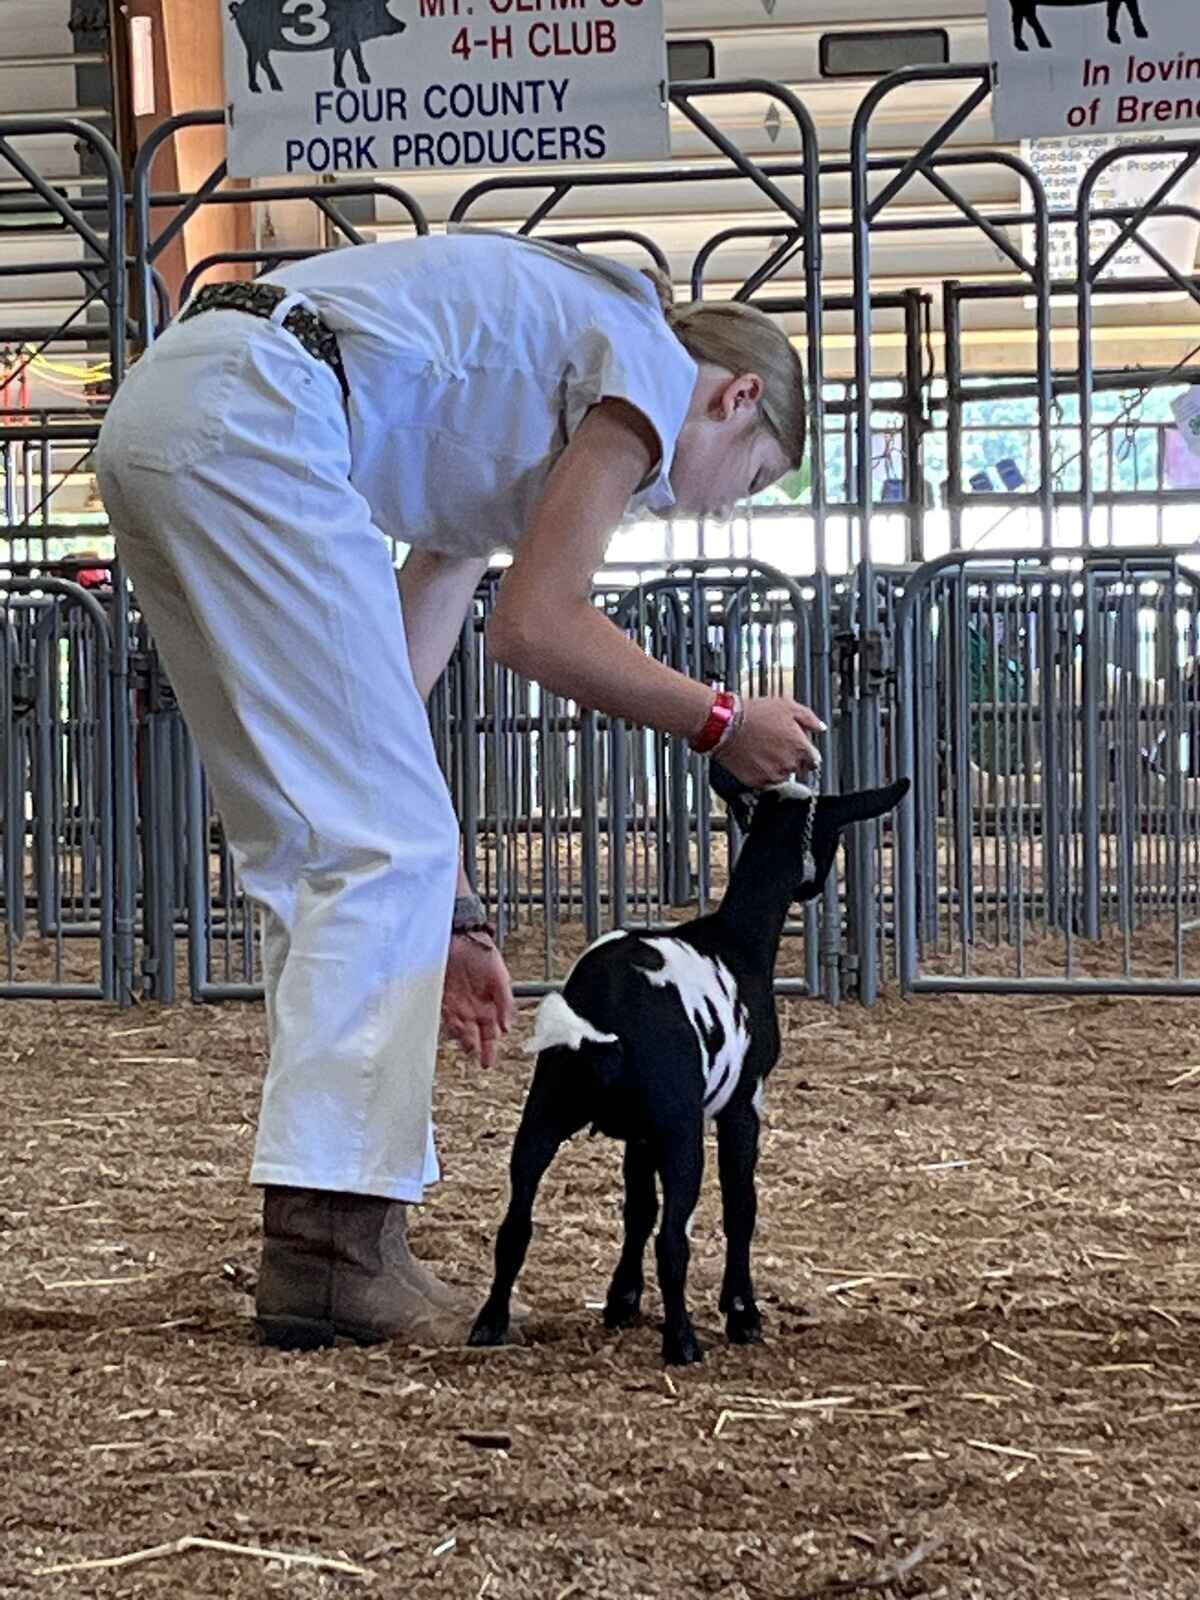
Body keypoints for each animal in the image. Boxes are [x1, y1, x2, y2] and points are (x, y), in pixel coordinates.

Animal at [470, 768, 908, 1369]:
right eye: (831, 834)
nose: (813, 888)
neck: (738, 938)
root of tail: (605, 1013)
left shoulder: (640, 1132)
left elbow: (637, 1206)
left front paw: (622, 1300)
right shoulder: (740, 1102)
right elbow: (740, 1203)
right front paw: (742, 1312)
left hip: (545, 1110)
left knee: (516, 1222)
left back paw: (490, 1322)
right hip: (680, 1128)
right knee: (673, 1238)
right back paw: (682, 1342)